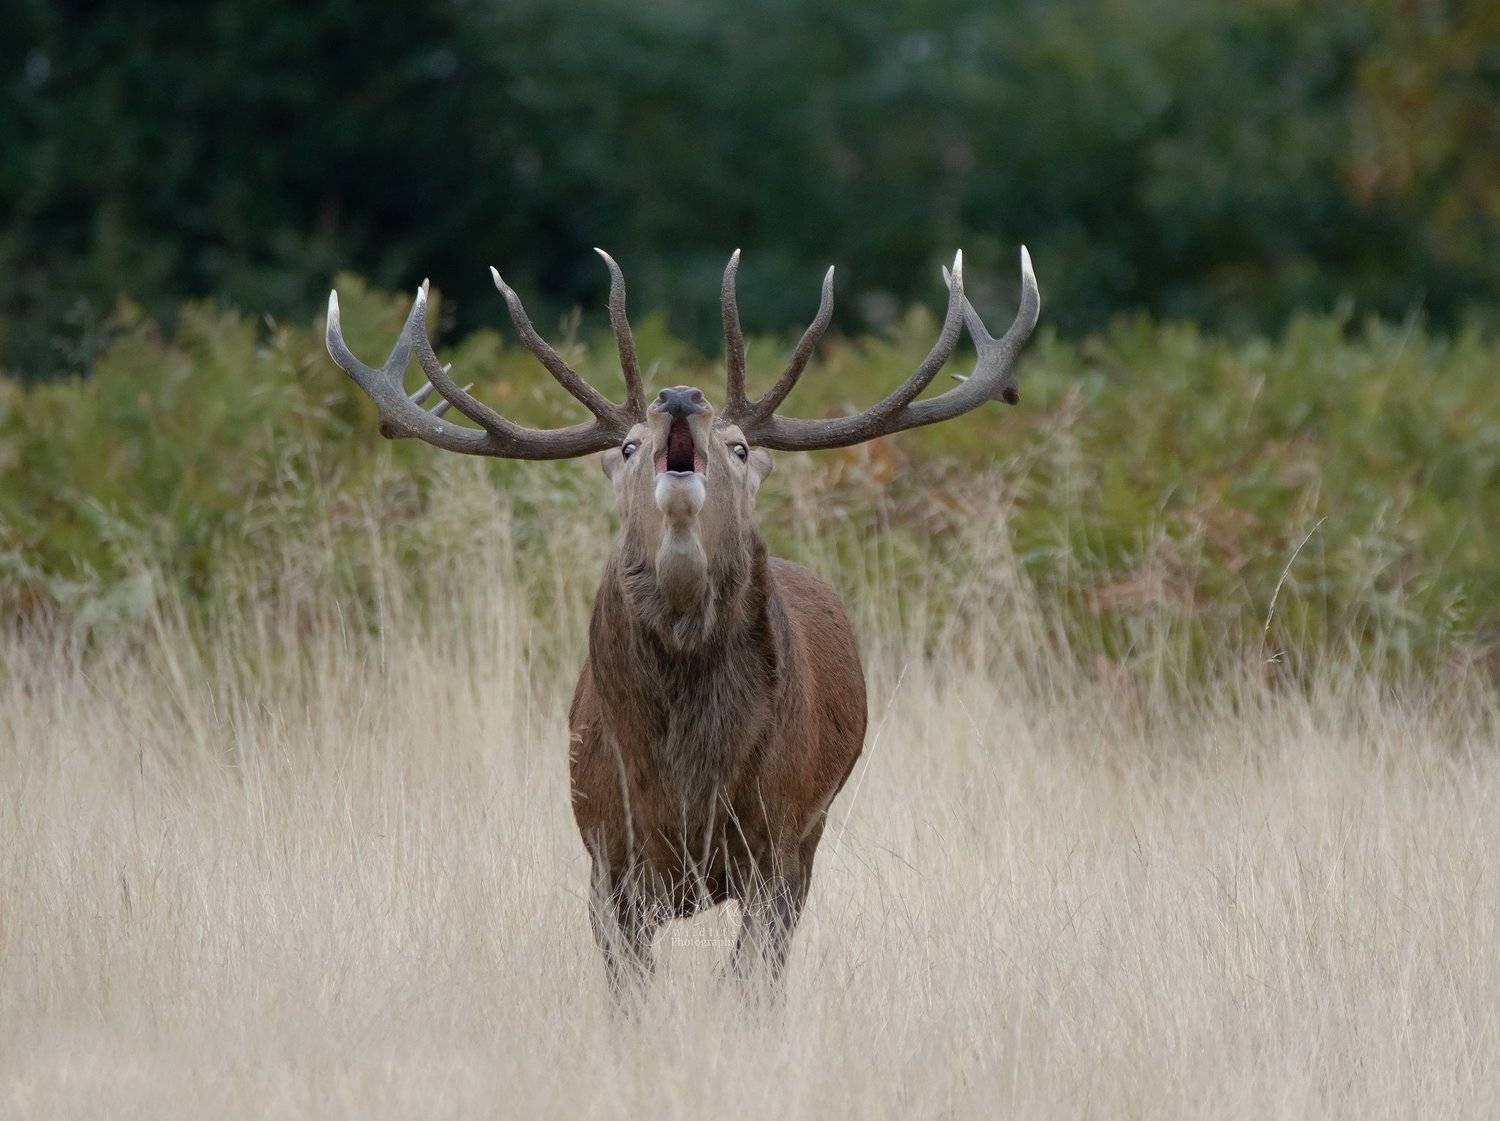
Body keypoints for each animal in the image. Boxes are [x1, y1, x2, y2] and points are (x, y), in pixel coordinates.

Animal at [324, 245, 1039, 993]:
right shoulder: (607, 854)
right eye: (627, 448)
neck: (688, 783)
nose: (680, 396)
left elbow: (751, 981)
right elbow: (630, 989)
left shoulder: (782, 841)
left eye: (741, 448)